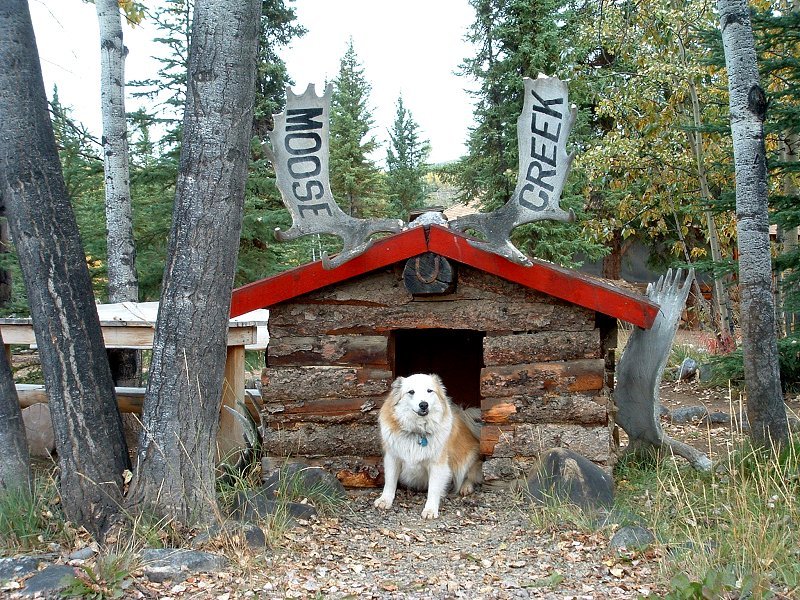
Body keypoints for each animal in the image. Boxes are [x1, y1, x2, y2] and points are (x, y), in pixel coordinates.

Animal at [374, 372, 482, 516]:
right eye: (411, 392)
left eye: (429, 391)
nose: (423, 404)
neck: (418, 432)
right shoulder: (392, 458)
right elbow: (390, 482)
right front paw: (385, 500)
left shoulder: (437, 464)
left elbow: (434, 489)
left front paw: (430, 509)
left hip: (468, 459)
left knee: (471, 475)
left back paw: (466, 487)